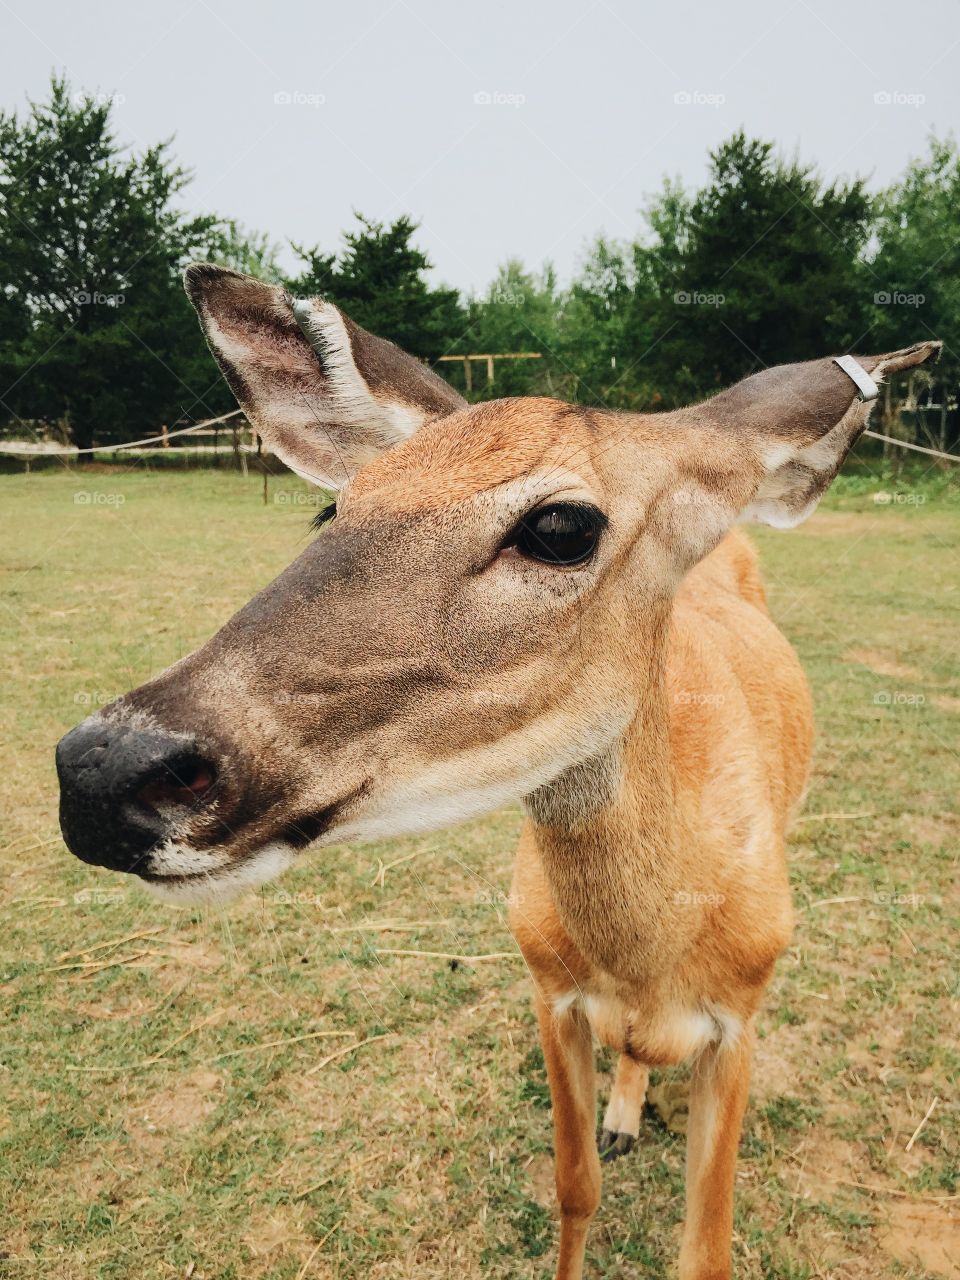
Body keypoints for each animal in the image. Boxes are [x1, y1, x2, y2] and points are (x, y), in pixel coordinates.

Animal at [56, 262, 942, 1280]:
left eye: (560, 526)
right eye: (335, 507)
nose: (101, 770)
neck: (653, 952)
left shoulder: (742, 1017)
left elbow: (706, 1250)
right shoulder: (547, 985)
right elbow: (572, 1187)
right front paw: (604, 1144)